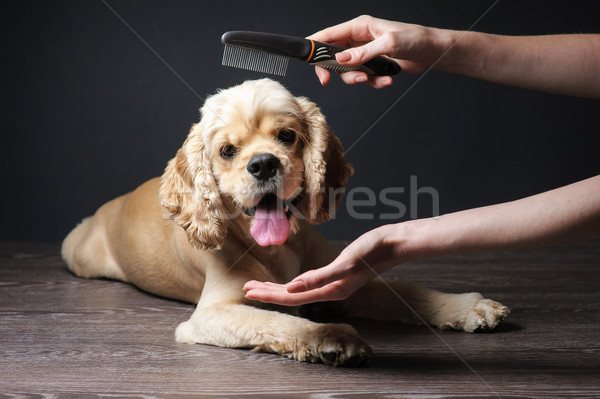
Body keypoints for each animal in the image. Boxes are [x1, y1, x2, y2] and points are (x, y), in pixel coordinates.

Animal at [63, 79, 508, 368]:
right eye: (227, 150)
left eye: (287, 136)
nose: (263, 164)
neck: (280, 249)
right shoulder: (210, 315)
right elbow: (278, 319)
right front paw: (329, 337)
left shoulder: (334, 277)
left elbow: (401, 291)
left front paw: (464, 306)